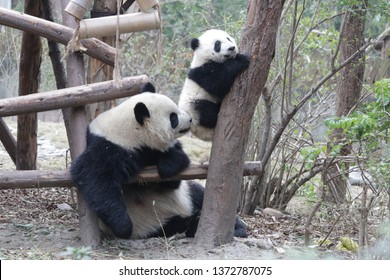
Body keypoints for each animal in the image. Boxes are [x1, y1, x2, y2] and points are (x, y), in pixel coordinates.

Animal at [69, 83, 247, 238]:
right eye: (173, 117)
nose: (190, 119)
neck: (129, 131)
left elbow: (173, 175)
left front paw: (168, 166)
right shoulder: (109, 146)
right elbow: (96, 178)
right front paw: (123, 225)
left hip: (186, 196)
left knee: (199, 195)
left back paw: (237, 227)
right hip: (156, 225)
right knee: (184, 224)